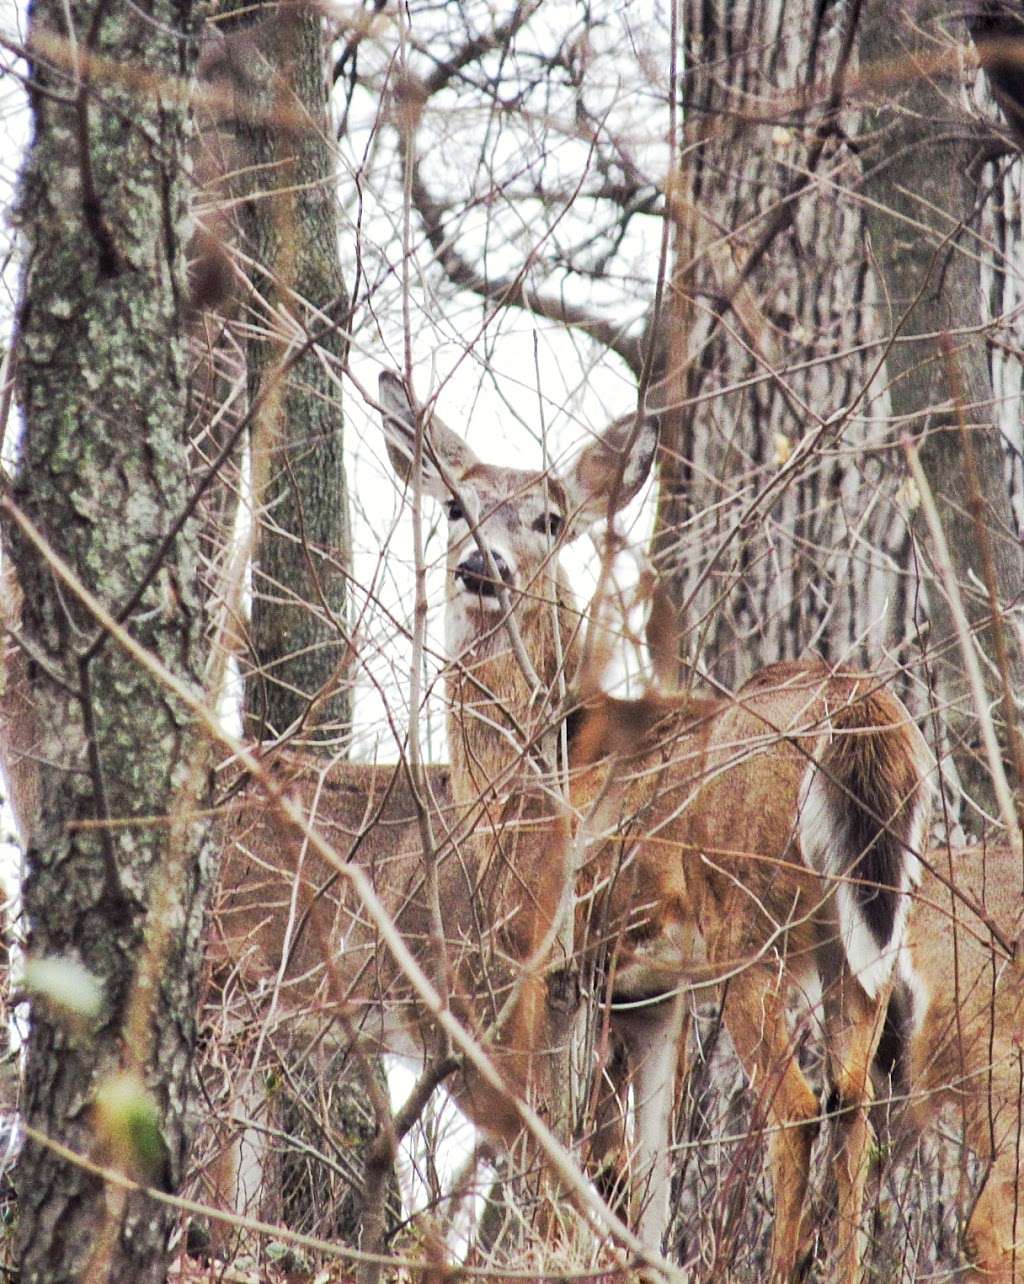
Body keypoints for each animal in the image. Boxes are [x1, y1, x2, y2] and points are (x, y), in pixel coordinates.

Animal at [379, 364, 939, 1284]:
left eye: (550, 518)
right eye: (456, 506)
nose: (481, 567)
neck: (527, 772)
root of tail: (861, 709)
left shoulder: (552, 962)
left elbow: (560, 1145)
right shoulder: (650, 990)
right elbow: (647, 1171)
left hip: (750, 921)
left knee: (797, 1108)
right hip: (862, 935)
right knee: (855, 1107)